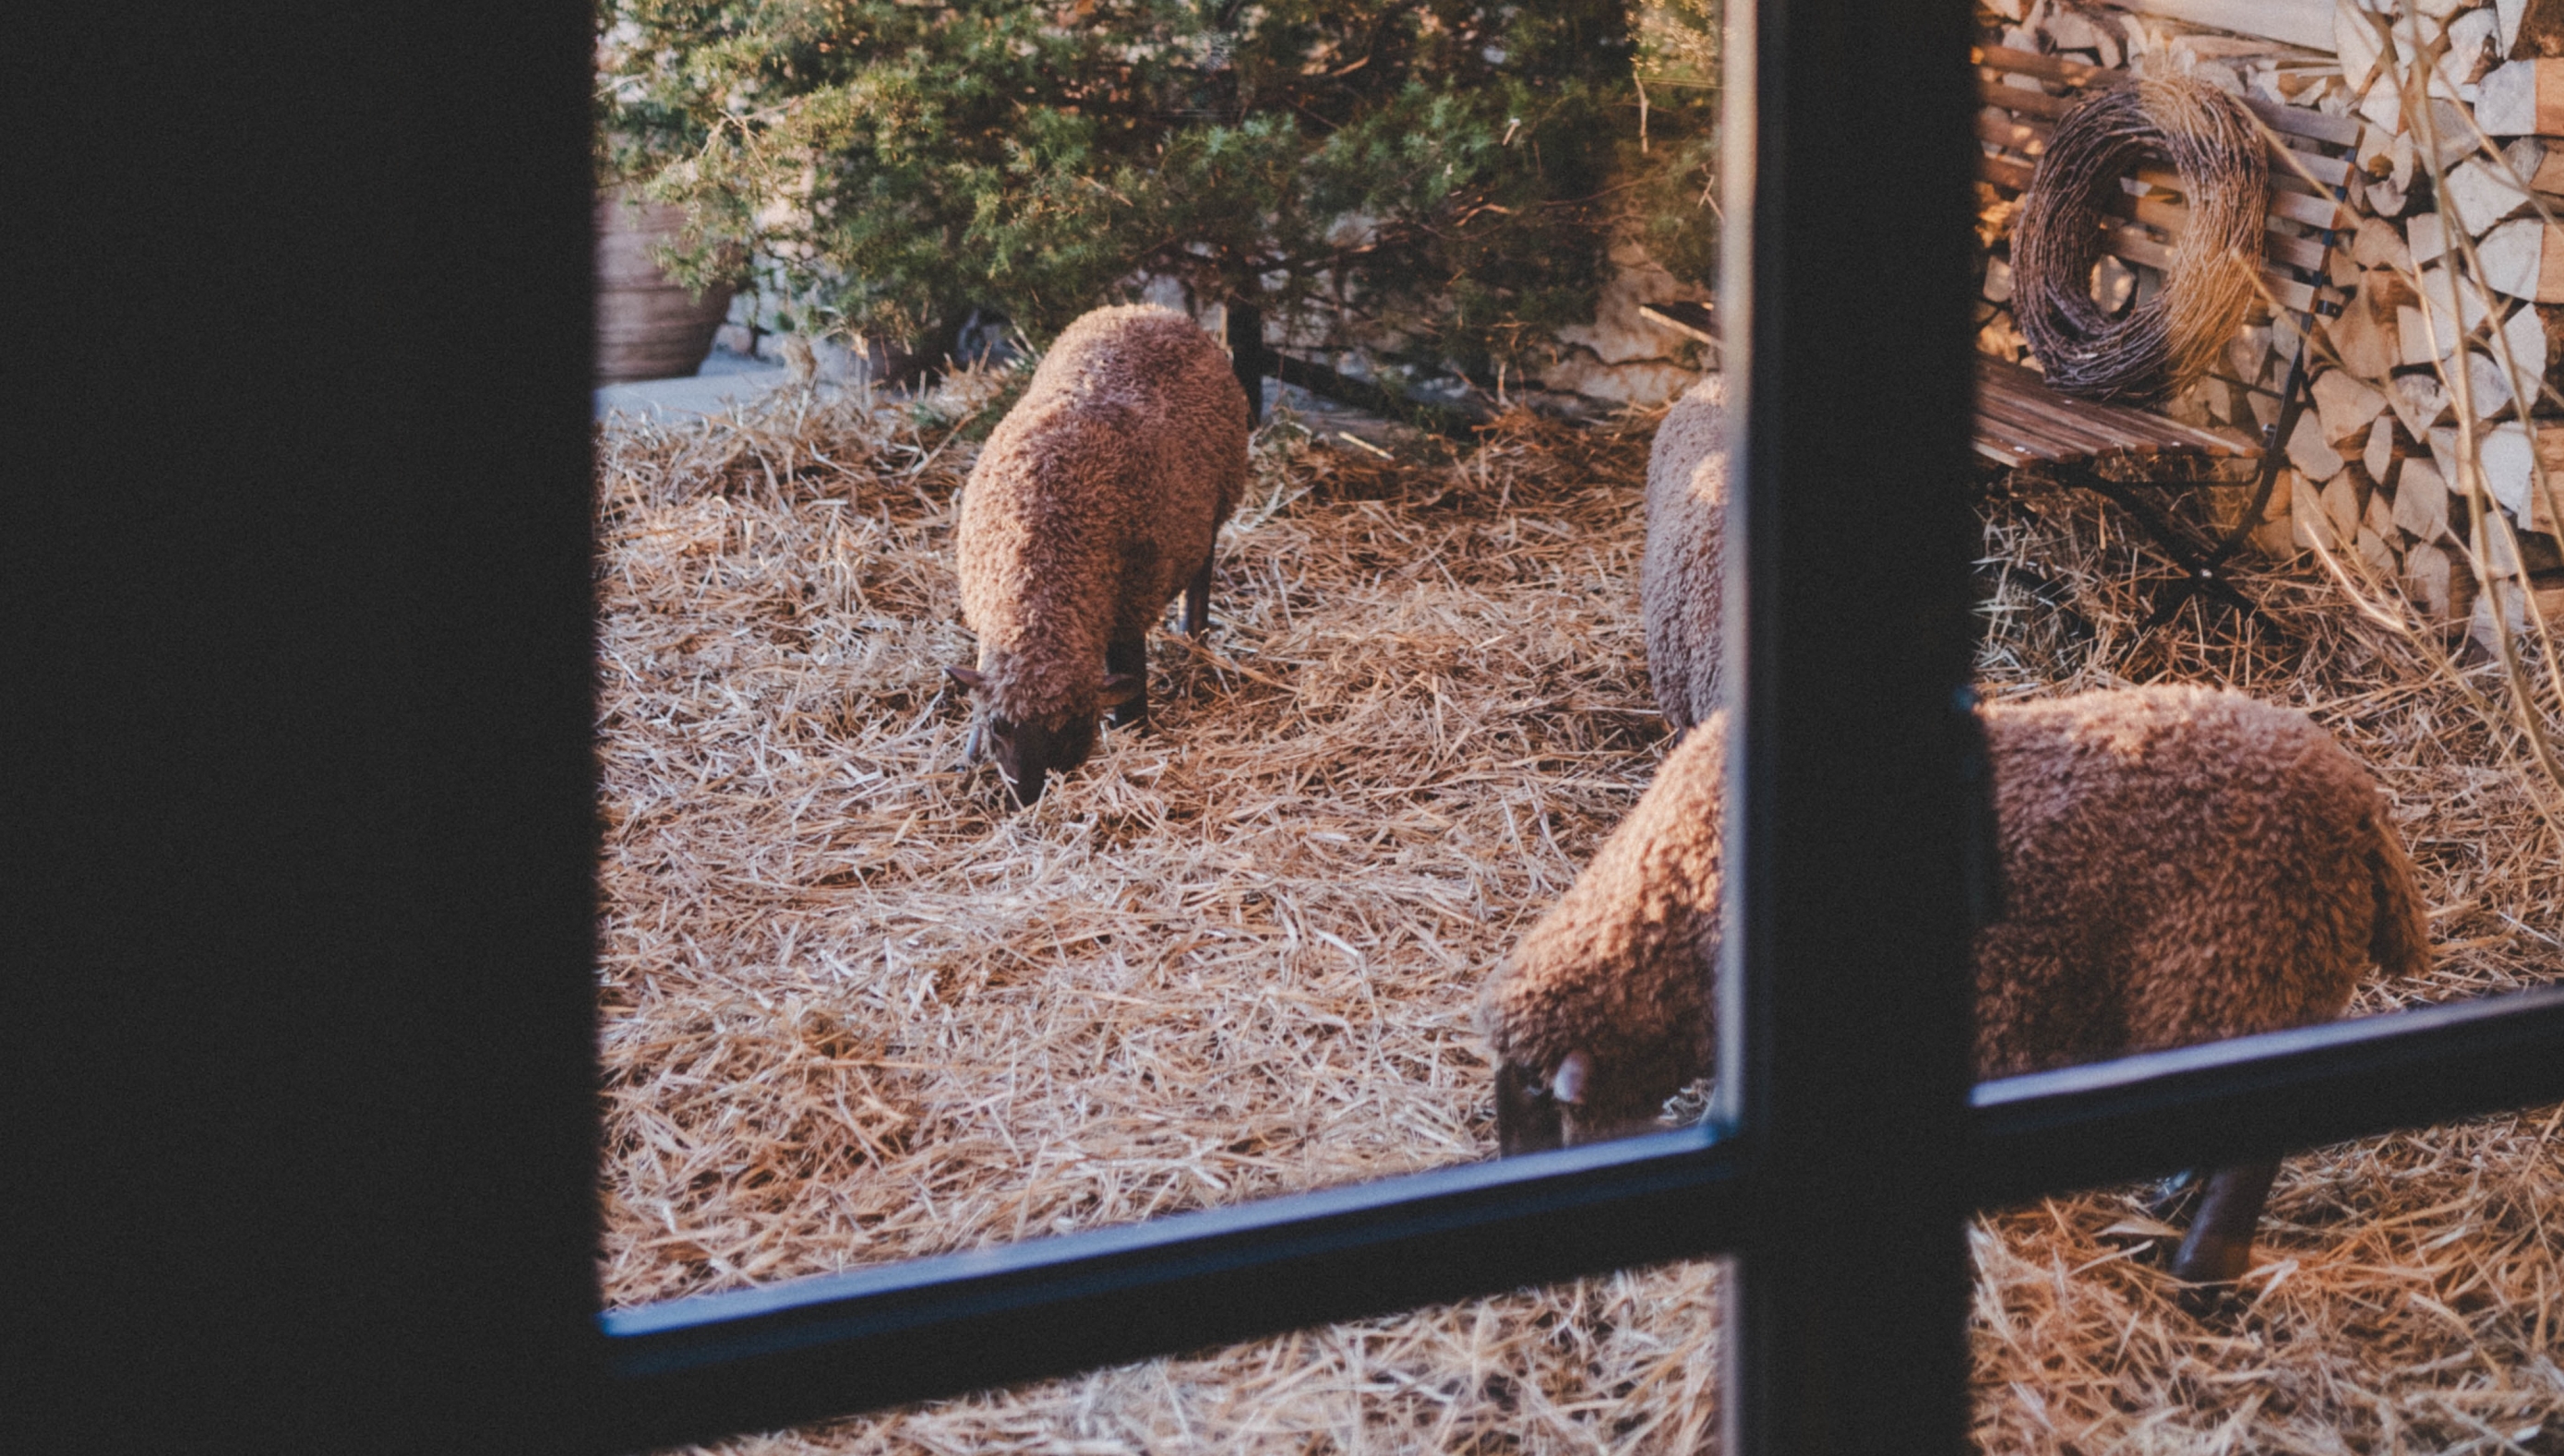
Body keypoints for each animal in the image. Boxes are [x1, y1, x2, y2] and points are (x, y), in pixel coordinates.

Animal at [953, 305, 1251, 809]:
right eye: (999, 726)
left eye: (1075, 728)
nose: (1028, 800)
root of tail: (1148, 310)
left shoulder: (1130, 606)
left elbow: (1131, 687)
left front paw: (1139, 736)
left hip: (1214, 509)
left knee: (1200, 577)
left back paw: (1193, 637)